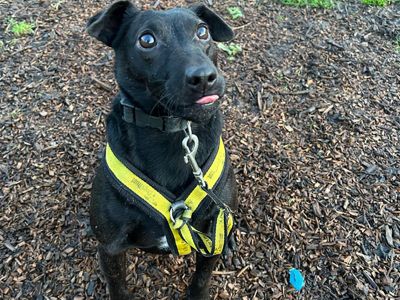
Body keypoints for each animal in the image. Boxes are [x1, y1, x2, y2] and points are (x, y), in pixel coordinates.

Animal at [86, 1, 238, 298]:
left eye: (202, 31)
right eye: (147, 40)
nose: (204, 77)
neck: (172, 129)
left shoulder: (210, 238)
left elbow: (201, 279)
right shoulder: (110, 248)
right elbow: (118, 286)